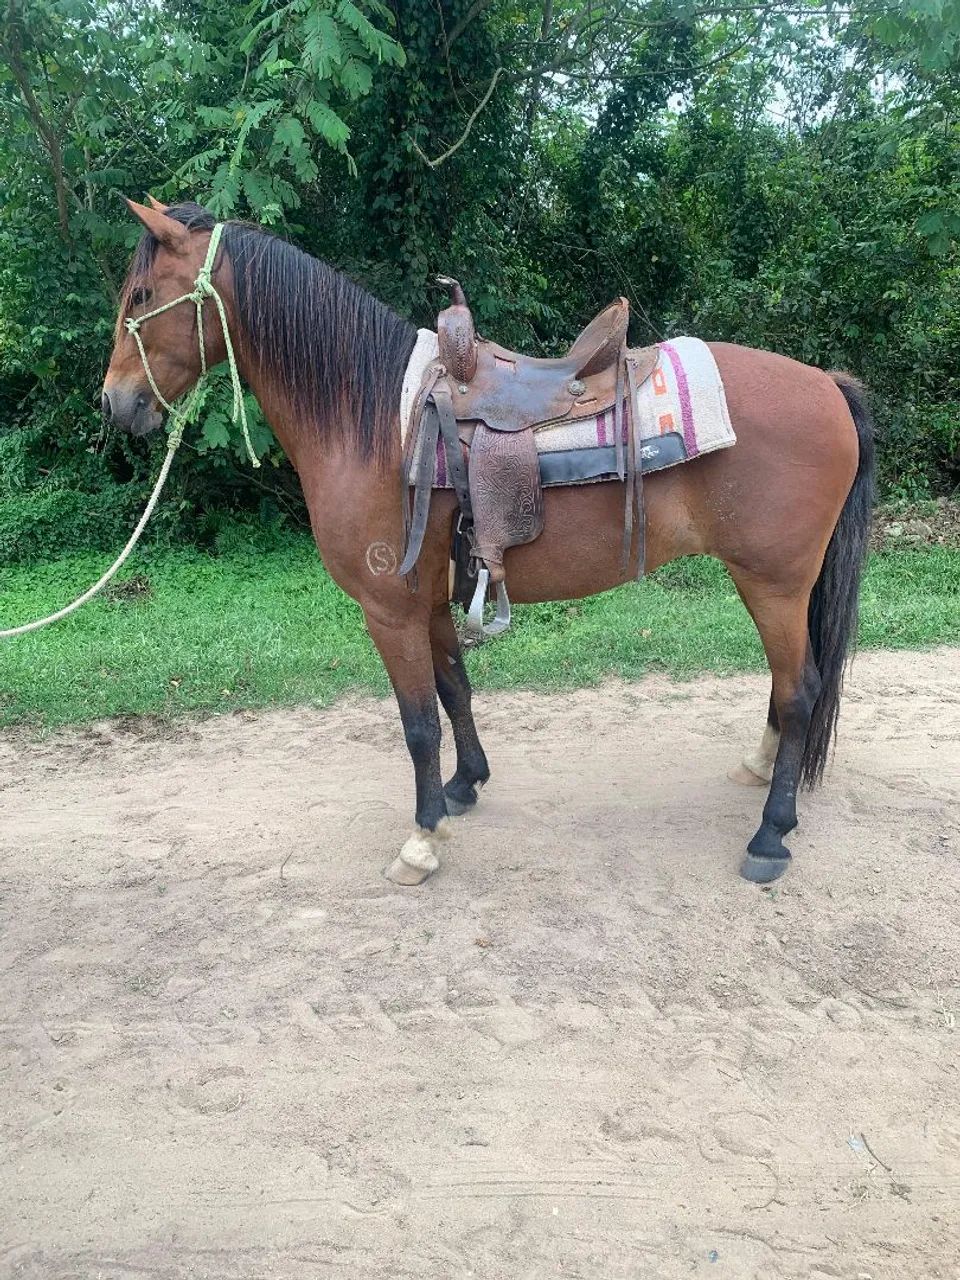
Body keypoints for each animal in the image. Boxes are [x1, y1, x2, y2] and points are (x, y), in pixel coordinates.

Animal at [101, 198, 874, 887]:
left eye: (140, 293)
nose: (115, 403)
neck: (374, 422)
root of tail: (828, 385)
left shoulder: (388, 610)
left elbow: (417, 723)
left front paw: (421, 840)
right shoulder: (430, 600)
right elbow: (455, 690)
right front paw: (463, 786)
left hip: (773, 582)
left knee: (801, 690)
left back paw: (771, 834)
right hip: (779, 586)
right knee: (786, 684)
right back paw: (761, 772)